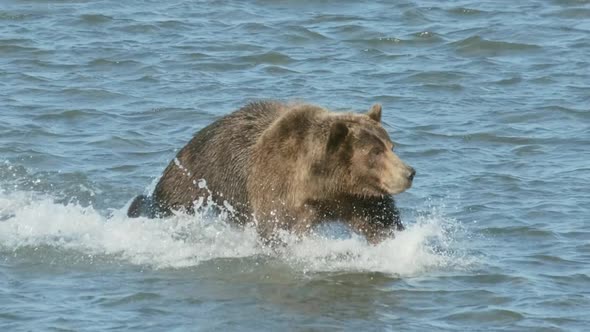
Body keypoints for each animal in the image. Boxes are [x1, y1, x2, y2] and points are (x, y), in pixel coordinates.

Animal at [128, 101, 416, 244]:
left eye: (391, 146)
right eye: (374, 152)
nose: (409, 172)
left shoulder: (358, 198)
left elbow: (381, 222)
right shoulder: (276, 190)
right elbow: (278, 232)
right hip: (194, 182)